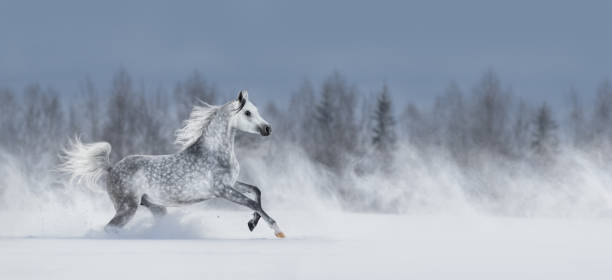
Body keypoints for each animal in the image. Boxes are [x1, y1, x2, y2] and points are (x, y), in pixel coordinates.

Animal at [59, 90, 284, 238]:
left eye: (256, 110)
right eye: (247, 113)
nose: (268, 129)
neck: (214, 152)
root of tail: (111, 168)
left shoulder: (232, 183)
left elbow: (256, 191)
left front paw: (252, 223)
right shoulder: (222, 190)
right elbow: (252, 202)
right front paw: (277, 230)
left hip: (154, 207)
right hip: (127, 207)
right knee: (110, 228)